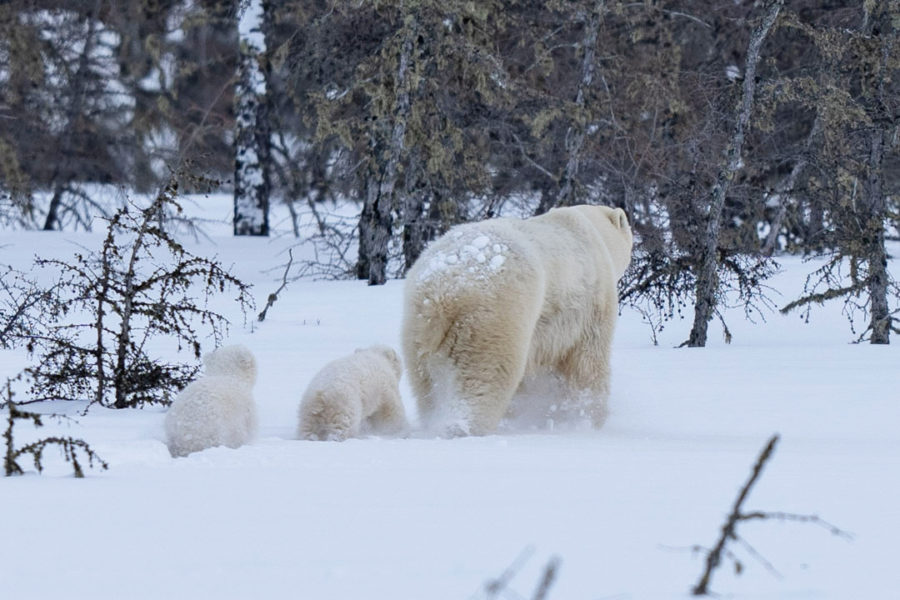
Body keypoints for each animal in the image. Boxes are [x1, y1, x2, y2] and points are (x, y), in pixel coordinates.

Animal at [402, 204, 633, 436]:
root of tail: (440, 295)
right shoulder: (593, 304)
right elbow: (587, 364)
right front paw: (588, 420)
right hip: (493, 318)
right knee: (482, 381)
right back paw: (466, 428)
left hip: (416, 330)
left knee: (428, 388)